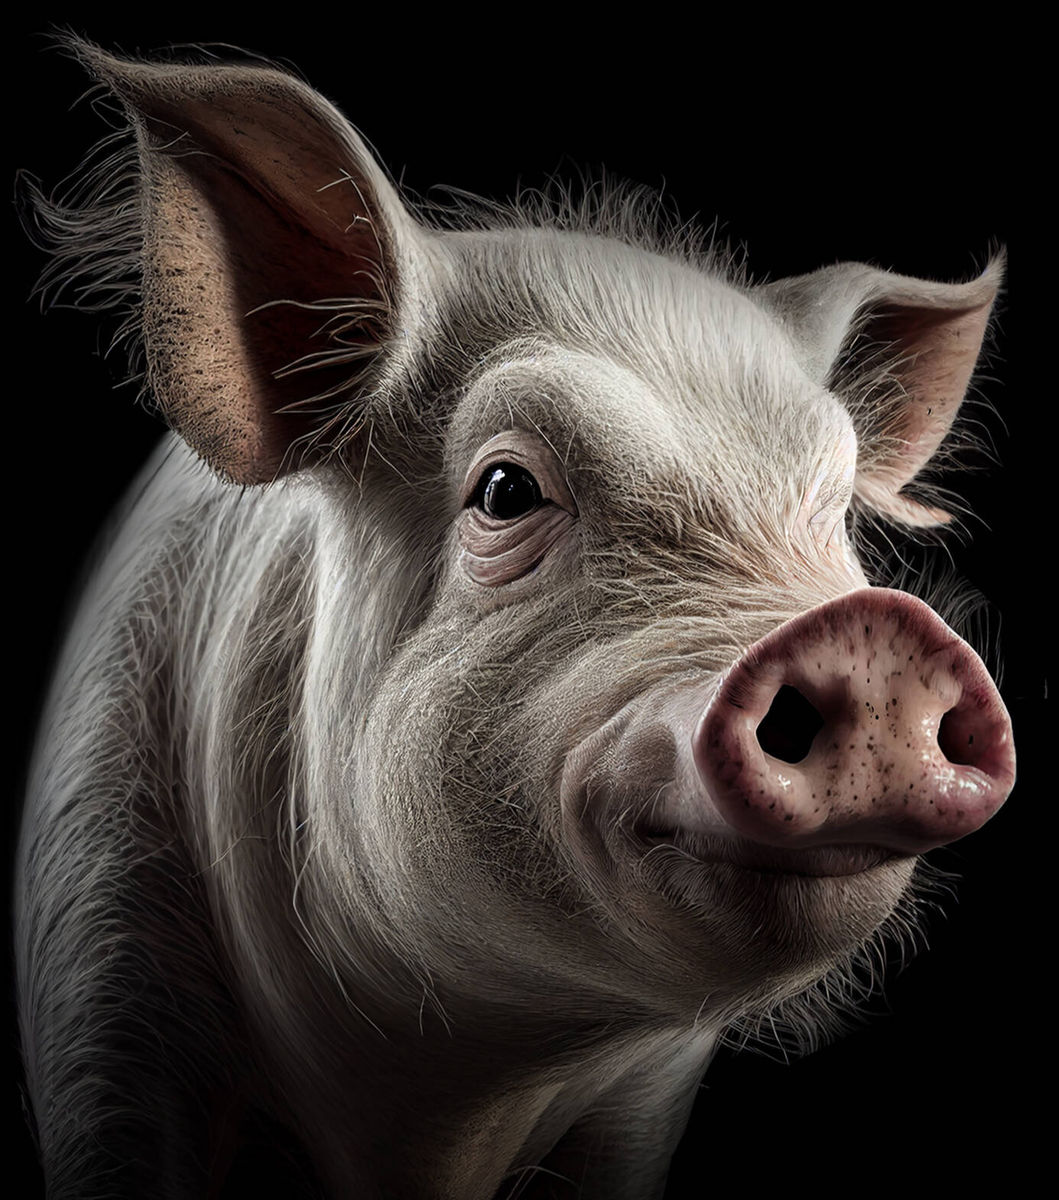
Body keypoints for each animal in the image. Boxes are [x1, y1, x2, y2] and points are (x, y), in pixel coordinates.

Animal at [15, 37, 1017, 1200]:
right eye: (503, 490)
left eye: (836, 510)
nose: (874, 632)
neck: (441, 1100)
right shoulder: (104, 955)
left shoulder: (641, 1100)